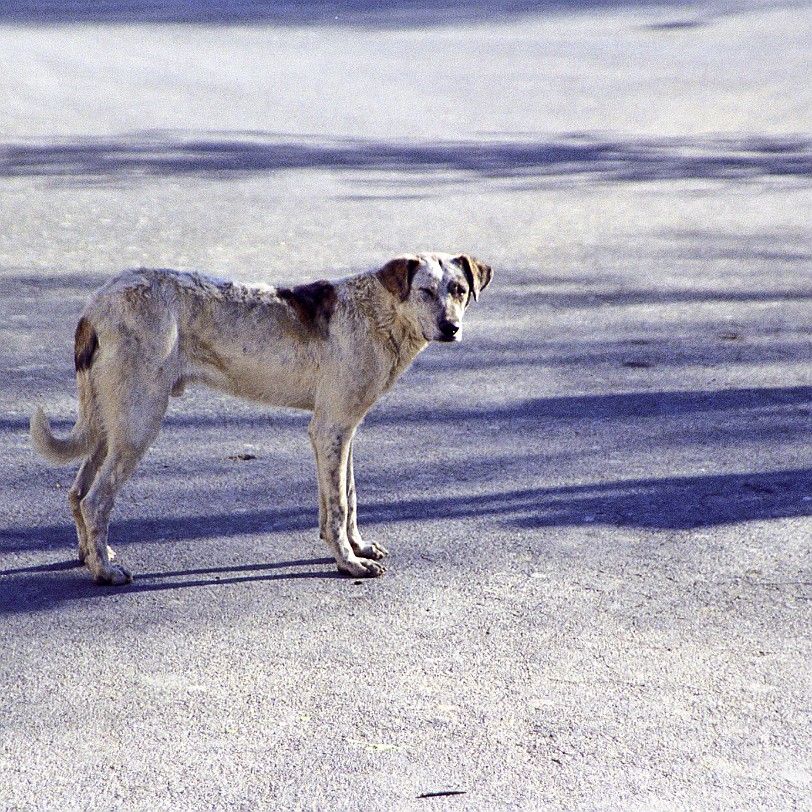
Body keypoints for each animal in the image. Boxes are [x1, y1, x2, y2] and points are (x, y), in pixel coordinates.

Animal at [28, 252, 492, 584]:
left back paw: (92, 557)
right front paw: (348, 565)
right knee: (96, 500)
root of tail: (97, 301)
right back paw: (105, 573)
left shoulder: (341, 431)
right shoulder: (330, 429)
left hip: (113, 424)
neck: (380, 312)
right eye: (425, 291)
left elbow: (346, 498)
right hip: (138, 424)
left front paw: (355, 549)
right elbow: (340, 505)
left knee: (77, 493)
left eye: (458, 289)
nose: (450, 328)